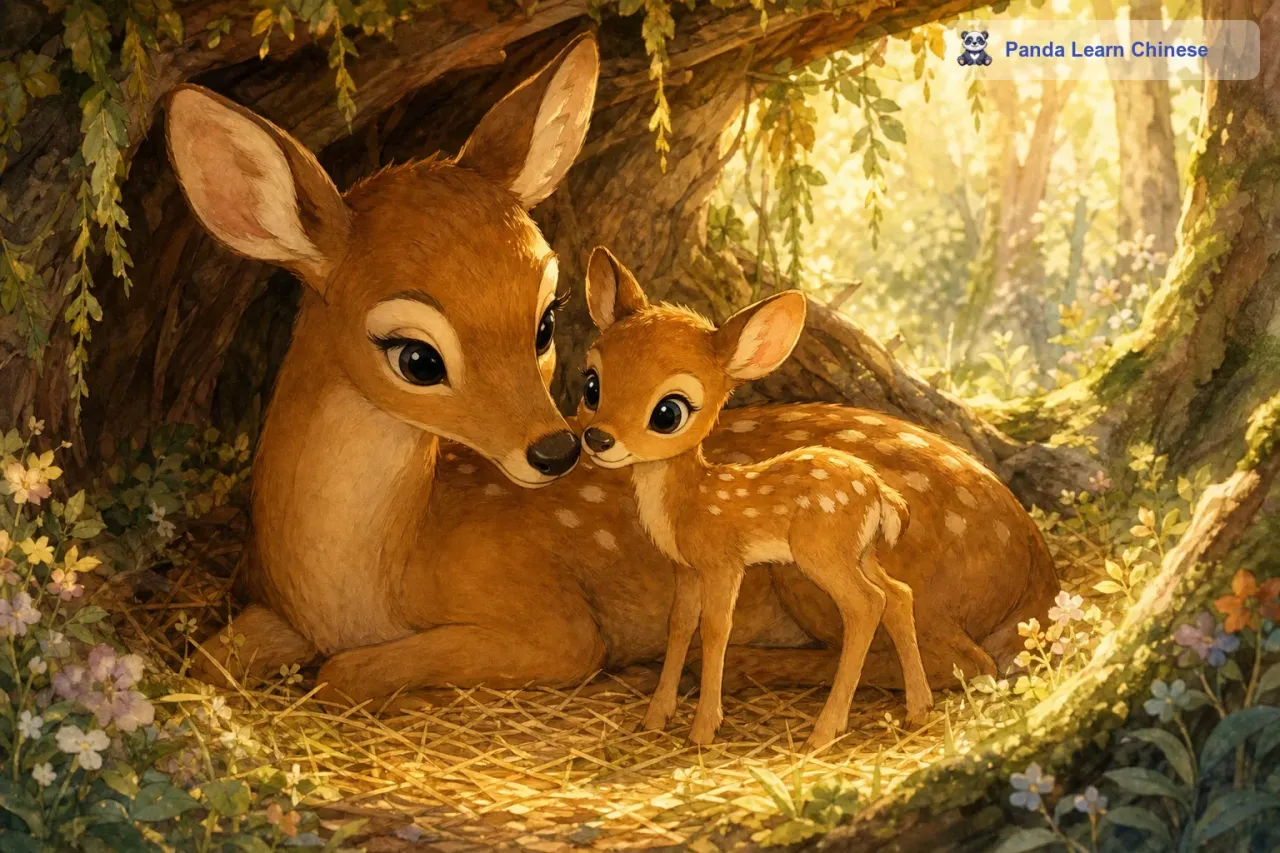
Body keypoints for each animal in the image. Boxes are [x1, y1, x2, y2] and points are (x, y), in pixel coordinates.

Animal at [576, 248, 933, 748]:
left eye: (668, 412)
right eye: (592, 384)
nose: (597, 438)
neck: (688, 503)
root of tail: (881, 494)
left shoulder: (724, 560)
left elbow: (716, 629)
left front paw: (703, 729)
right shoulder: (685, 567)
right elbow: (679, 624)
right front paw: (656, 716)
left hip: (822, 550)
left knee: (866, 606)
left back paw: (824, 730)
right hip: (860, 550)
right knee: (899, 594)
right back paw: (919, 709)